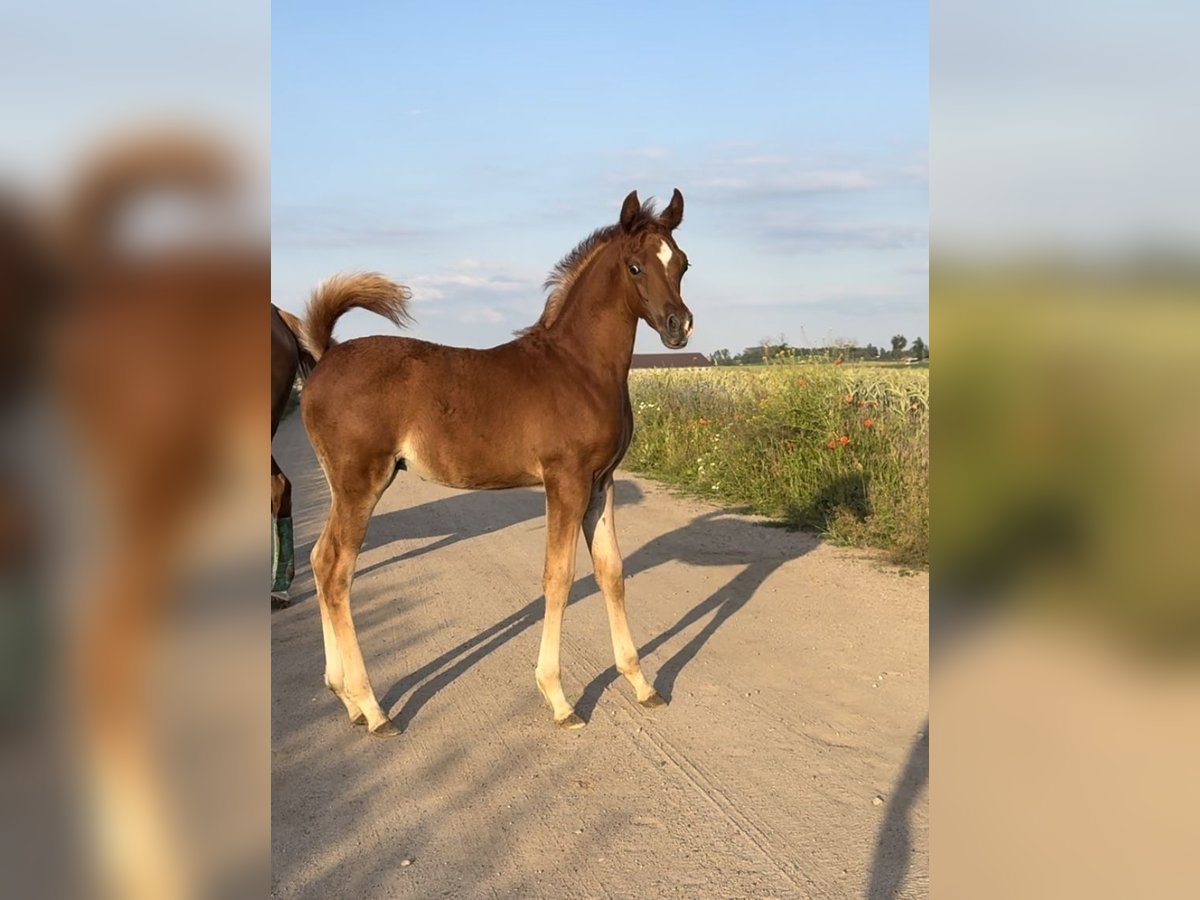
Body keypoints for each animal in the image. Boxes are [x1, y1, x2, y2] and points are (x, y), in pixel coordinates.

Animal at [300, 188, 696, 734]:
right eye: (635, 266)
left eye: (682, 262)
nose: (679, 326)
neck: (579, 367)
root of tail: (326, 356)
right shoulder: (565, 480)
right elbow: (559, 578)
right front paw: (559, 699)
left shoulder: (602, 482)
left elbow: (611, 572)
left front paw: (641, 684)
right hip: (362, 482)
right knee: (338, 572)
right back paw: (374, 708)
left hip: (341, 485)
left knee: (320, 561)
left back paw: (346, 698)